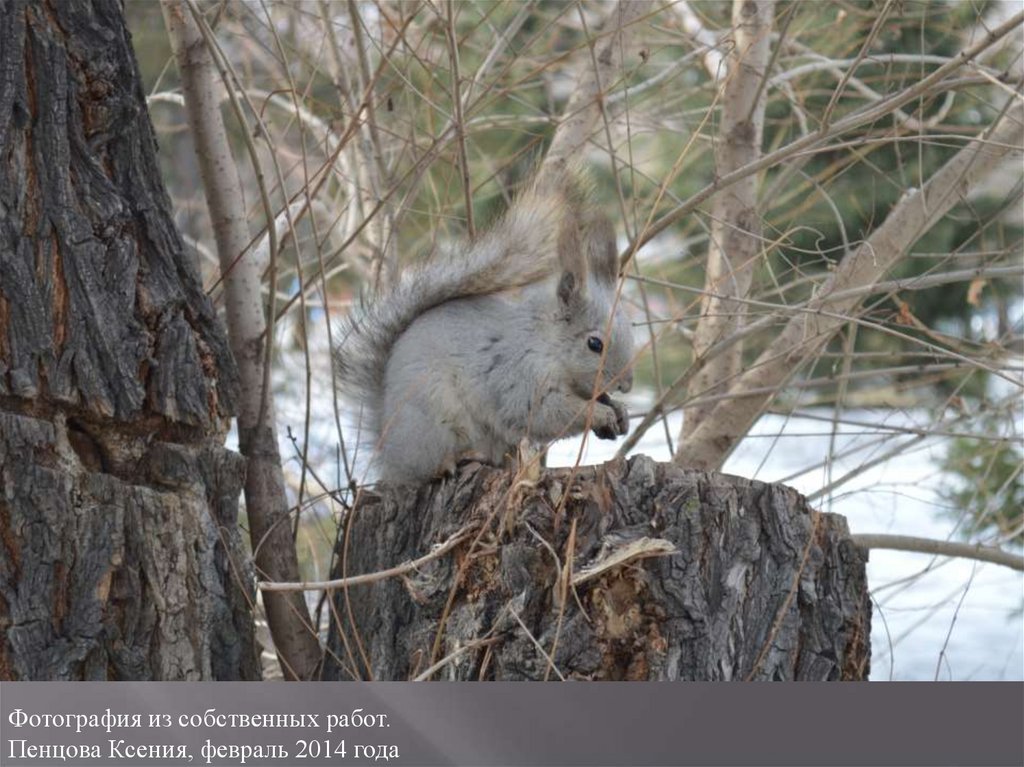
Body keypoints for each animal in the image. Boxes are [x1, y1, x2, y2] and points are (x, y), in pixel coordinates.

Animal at [335, 171, 634, 485]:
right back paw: (453, 460)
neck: (545, 341)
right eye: (594, 344)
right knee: (427, 467)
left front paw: (619, 411)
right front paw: (599, 414)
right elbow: (544, 412)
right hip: (434, 420)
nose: (626, 384)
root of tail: (387, 450)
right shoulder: (517, 373)